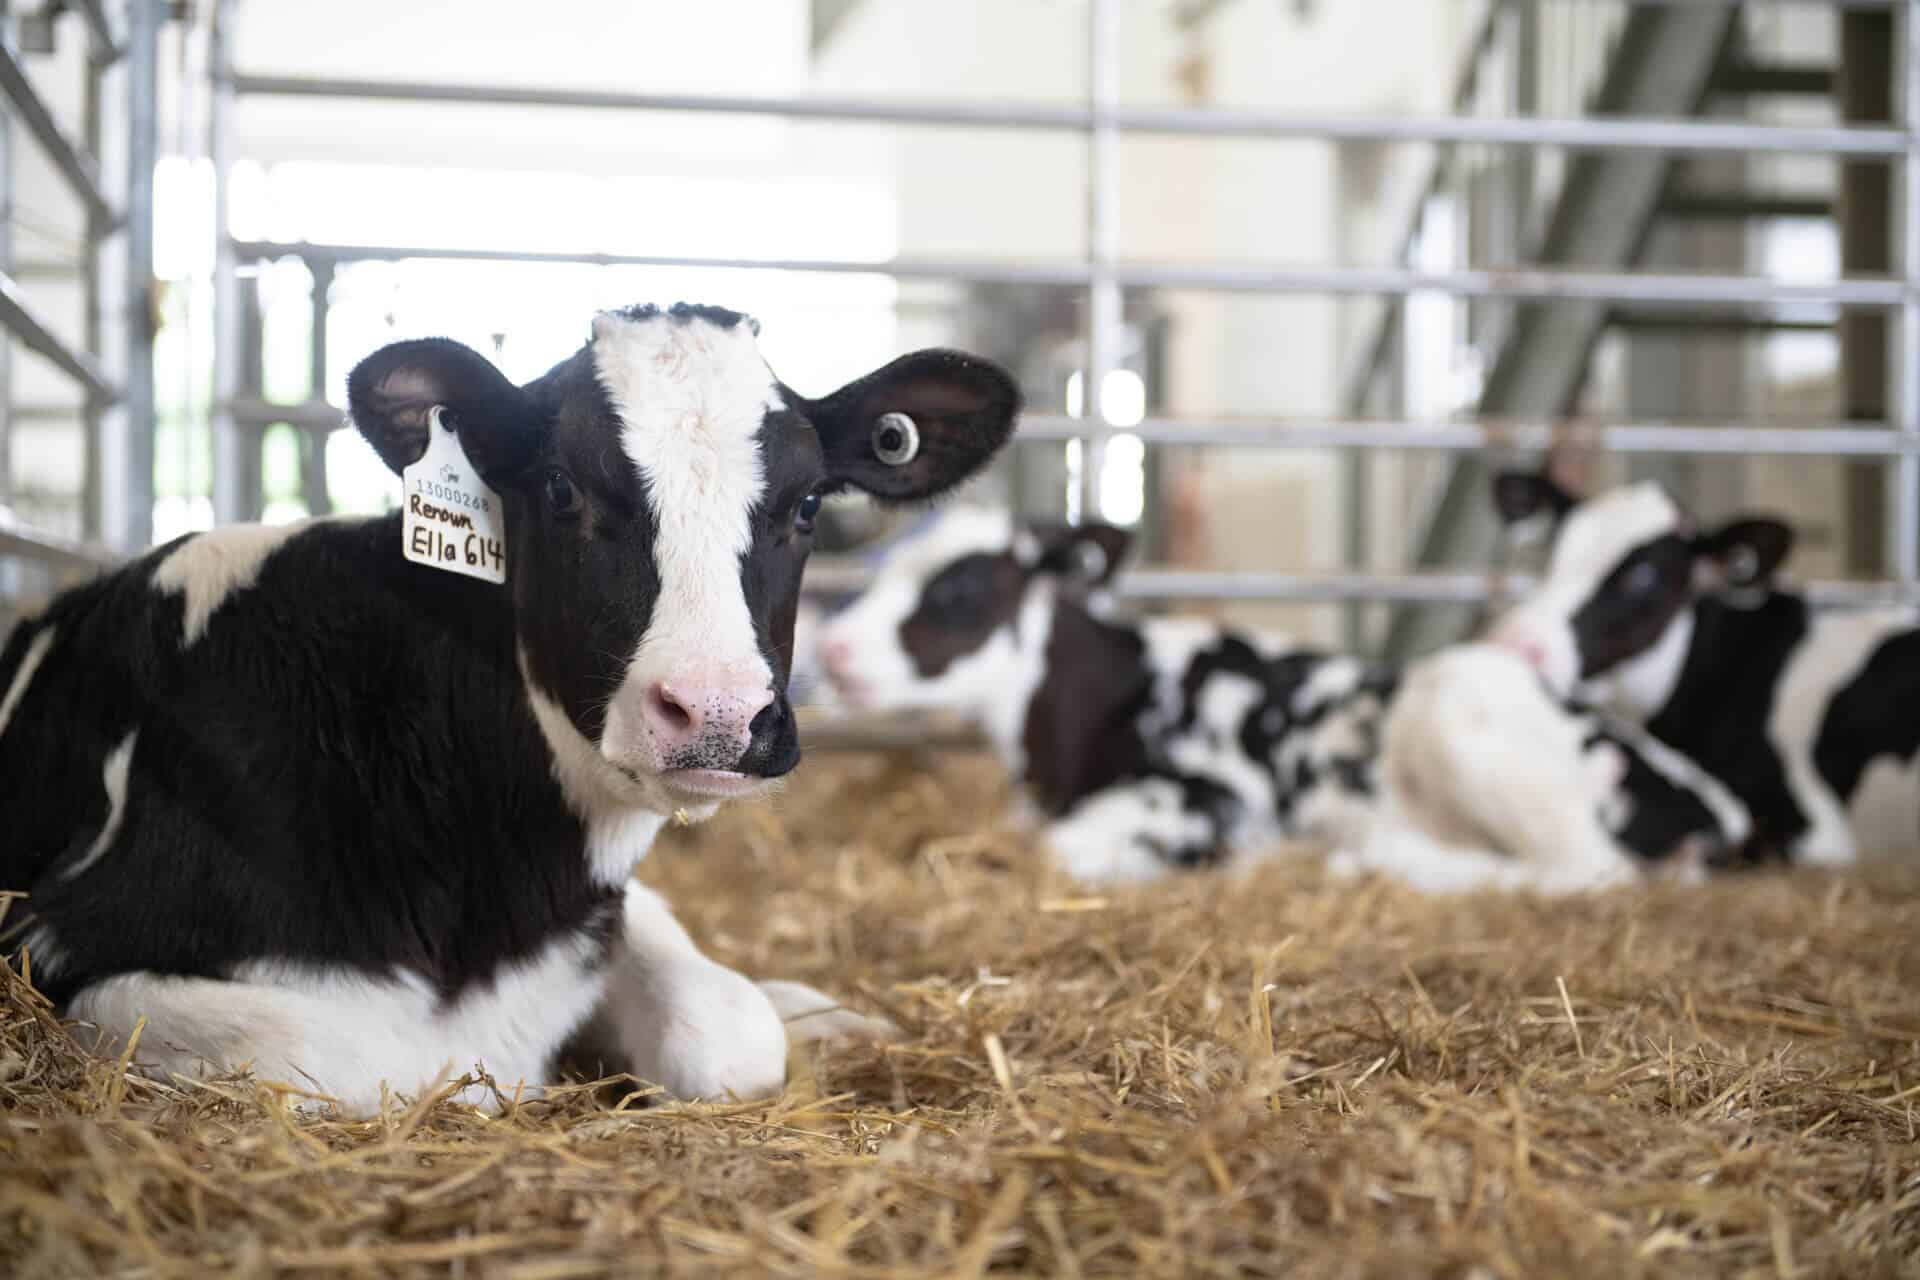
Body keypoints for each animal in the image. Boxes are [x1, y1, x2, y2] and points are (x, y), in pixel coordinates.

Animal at [0, 305, 1021, 1113]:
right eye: (562, 489)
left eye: (808, 503)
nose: (719, 712)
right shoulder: (61, 936)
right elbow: (349, 1054)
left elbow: (727, 1030)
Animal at [817, 506, 1751, 890]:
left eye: (960, 589)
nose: (830, 648)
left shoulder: (1215, 796)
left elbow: (1062, 851)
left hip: (1461, 713)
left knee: (1584, 871)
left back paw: (1380, 860)